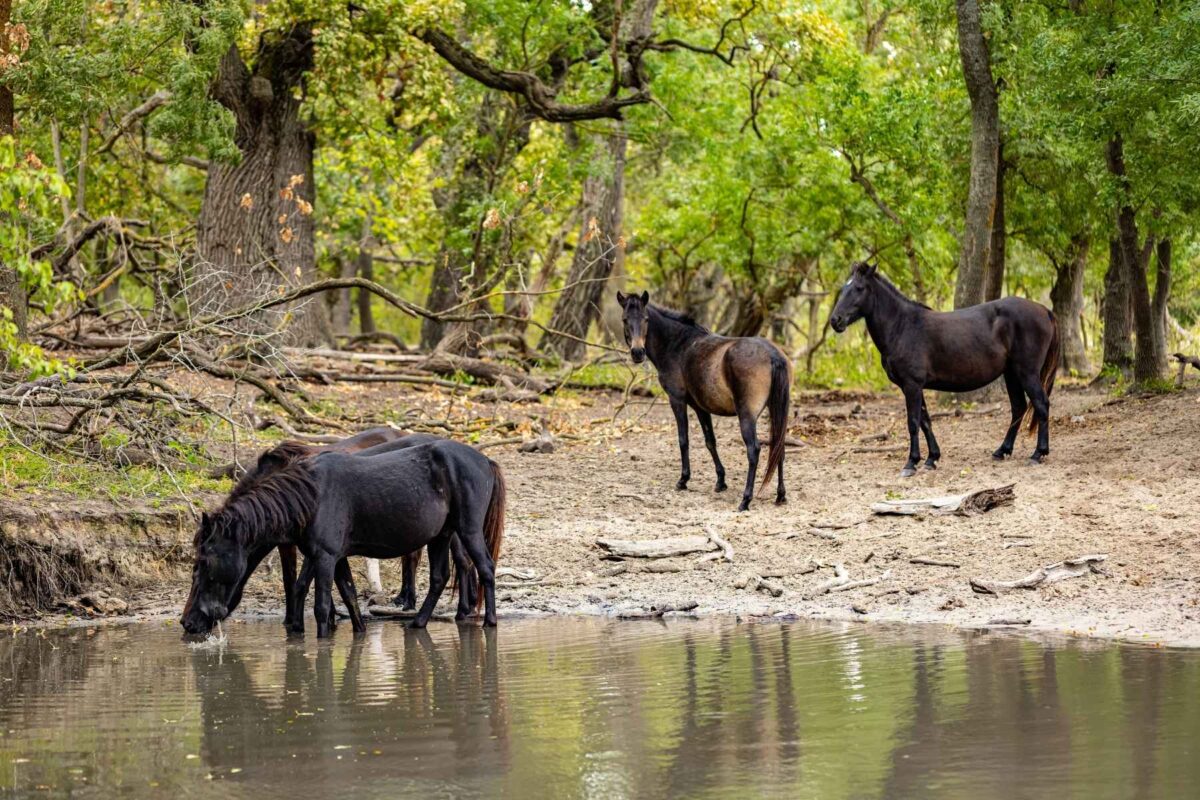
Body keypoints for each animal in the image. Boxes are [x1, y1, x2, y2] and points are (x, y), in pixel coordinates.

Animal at [830, 261, 1056, 474]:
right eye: (843, 288)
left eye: (859, 288)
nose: (835, 320)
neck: (902, 327)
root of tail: (1044, 310)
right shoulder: (912, 386)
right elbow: (925, 421)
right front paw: (931, 459)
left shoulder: (912, 385)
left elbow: (913, 422)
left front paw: (911, 463)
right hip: (1011, 374)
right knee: (1018, 407)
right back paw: (1002, 451)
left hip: (1027, 373)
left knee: (1041, 404)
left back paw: (1038, 454)